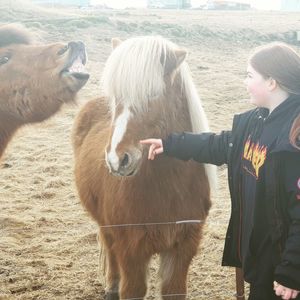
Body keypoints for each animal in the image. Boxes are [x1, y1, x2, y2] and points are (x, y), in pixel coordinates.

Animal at [72, 36, 216, 298]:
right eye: (116, 97)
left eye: (152, 94)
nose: (117, 159)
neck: (168, 189)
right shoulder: (132, 251)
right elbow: (132, 289)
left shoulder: (183, 248)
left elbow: (173, 290)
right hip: (106, 225)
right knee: (109, 247)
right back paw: (111, 285)